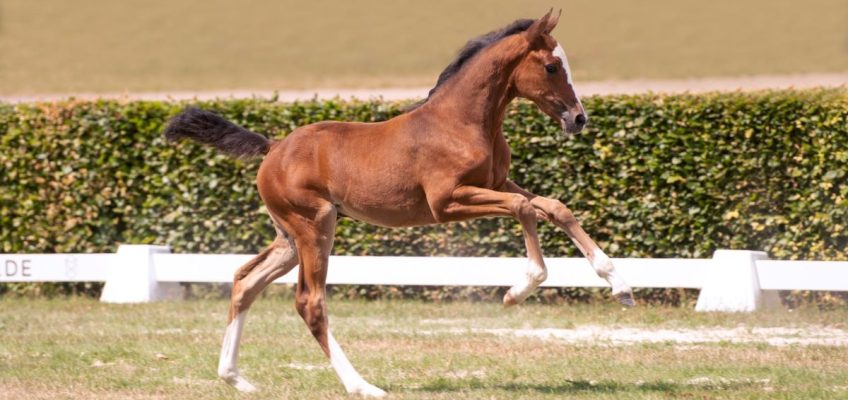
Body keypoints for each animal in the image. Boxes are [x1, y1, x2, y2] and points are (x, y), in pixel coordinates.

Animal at [164, 9, 628, 396]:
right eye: (551, 66)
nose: (579, 119)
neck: (461, 122)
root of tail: (273, 147)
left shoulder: (498, 183)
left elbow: (554, 206)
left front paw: (619, 284)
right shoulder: (448, 202)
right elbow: (524, 209)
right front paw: (520, 289)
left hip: (290, 238)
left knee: (245, 280)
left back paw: (235, 378)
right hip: (315, 227)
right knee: (310, 302)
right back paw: (361, 386)